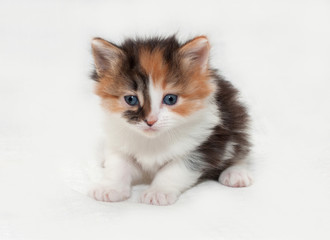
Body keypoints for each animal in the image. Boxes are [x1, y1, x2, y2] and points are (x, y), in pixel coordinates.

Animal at [89, 34, 251, 205]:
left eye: (170, 99)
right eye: (131, 99)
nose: (150, 120)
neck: (152, 140)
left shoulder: (204, 143)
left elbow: (175, 170)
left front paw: (158, 192)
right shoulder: (118, 140)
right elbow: (118, 165)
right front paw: (110, 188)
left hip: (236, 119)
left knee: (241, 149)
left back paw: (236, 173)